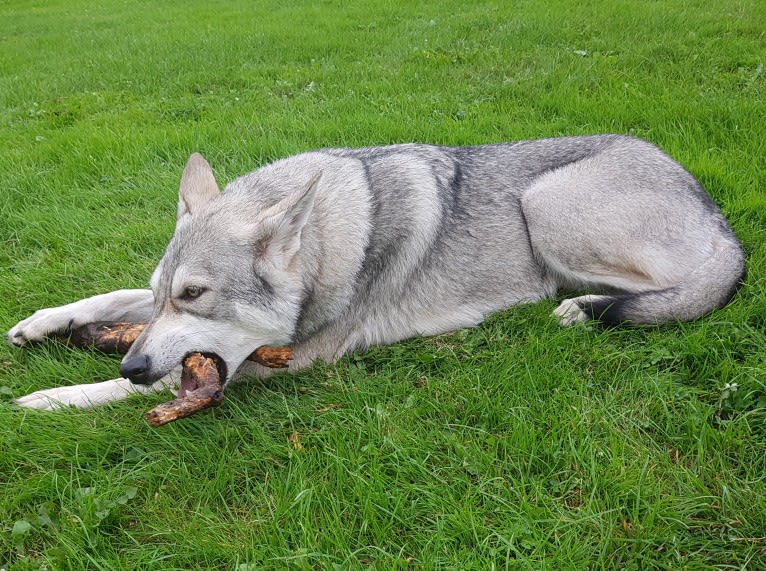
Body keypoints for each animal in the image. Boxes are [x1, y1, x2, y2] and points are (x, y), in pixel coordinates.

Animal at [9, 136, 748, 408]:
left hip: (545, 208)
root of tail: (720, 220)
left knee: (663, 292)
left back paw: (581, 307)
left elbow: (127, 392)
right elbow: (108, 295)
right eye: (170, 293)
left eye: (196, 295)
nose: (132, 360)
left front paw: (51, 398)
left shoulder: (288, 362)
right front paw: (38, 324)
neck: (324, 246)